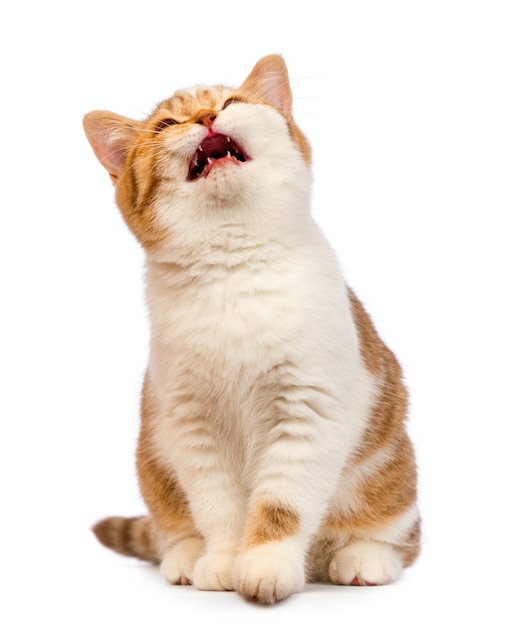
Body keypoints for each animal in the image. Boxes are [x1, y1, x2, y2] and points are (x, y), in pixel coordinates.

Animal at [83, 56, 422, 604]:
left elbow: (281, 502)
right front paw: (223, 561)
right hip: (154, 460)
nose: (204, 117)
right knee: (171, 527)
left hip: (392, 469)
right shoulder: (191, 422)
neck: (233, 266)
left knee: (396, 535)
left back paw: (362, 557)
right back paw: (185, 556)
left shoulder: (307, 408)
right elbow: (218, 506)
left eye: (231, 102)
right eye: (166, 125)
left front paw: (266, 565)